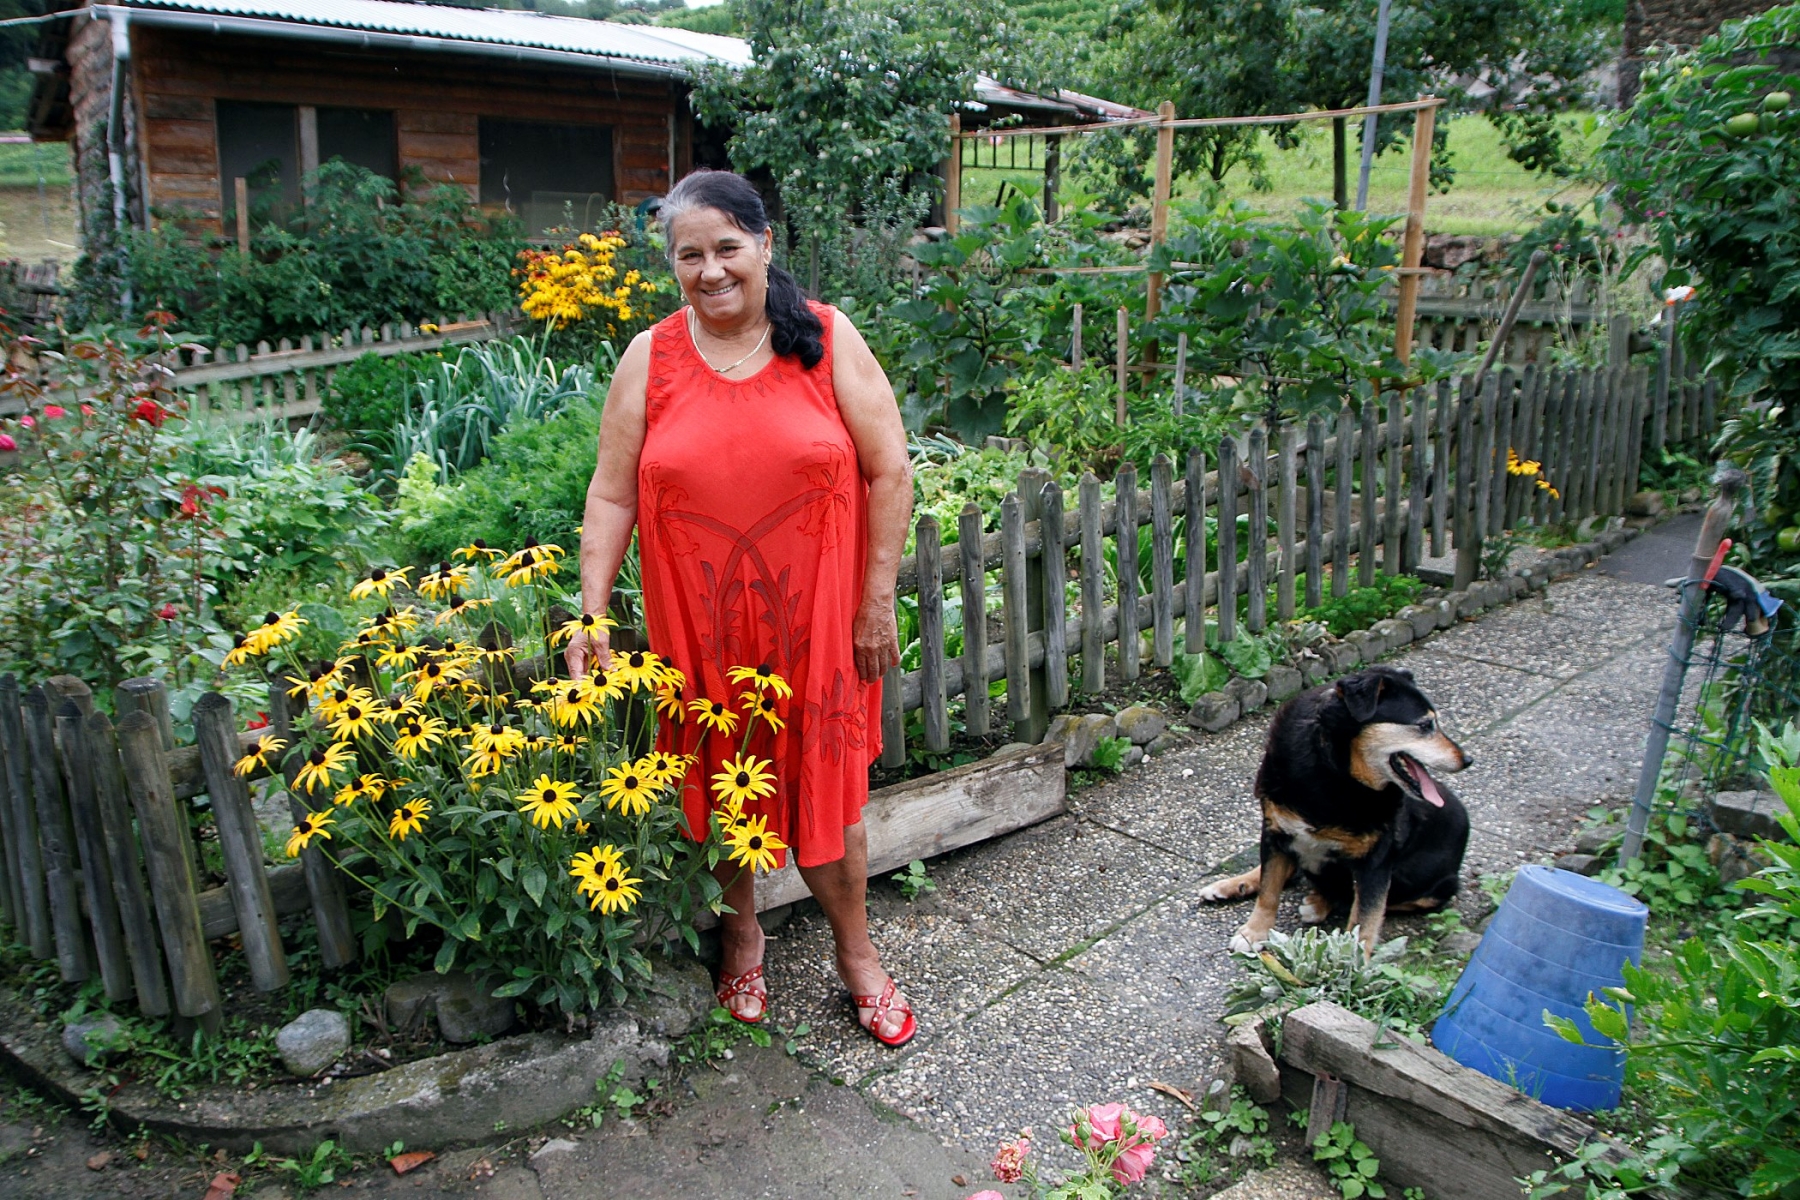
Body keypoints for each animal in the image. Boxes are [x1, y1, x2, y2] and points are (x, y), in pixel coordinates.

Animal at [1202, 665, 1468, 957]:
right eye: (1424, 725)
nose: (1467, 760)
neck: (1334, 769)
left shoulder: (1376, 860)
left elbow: (1365, 917)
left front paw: (1352, 961)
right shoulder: (1275, 828)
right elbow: (1269, 890)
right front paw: (1254, 932)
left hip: (1440, 888)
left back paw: (1319, 903)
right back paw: (1231, 885)